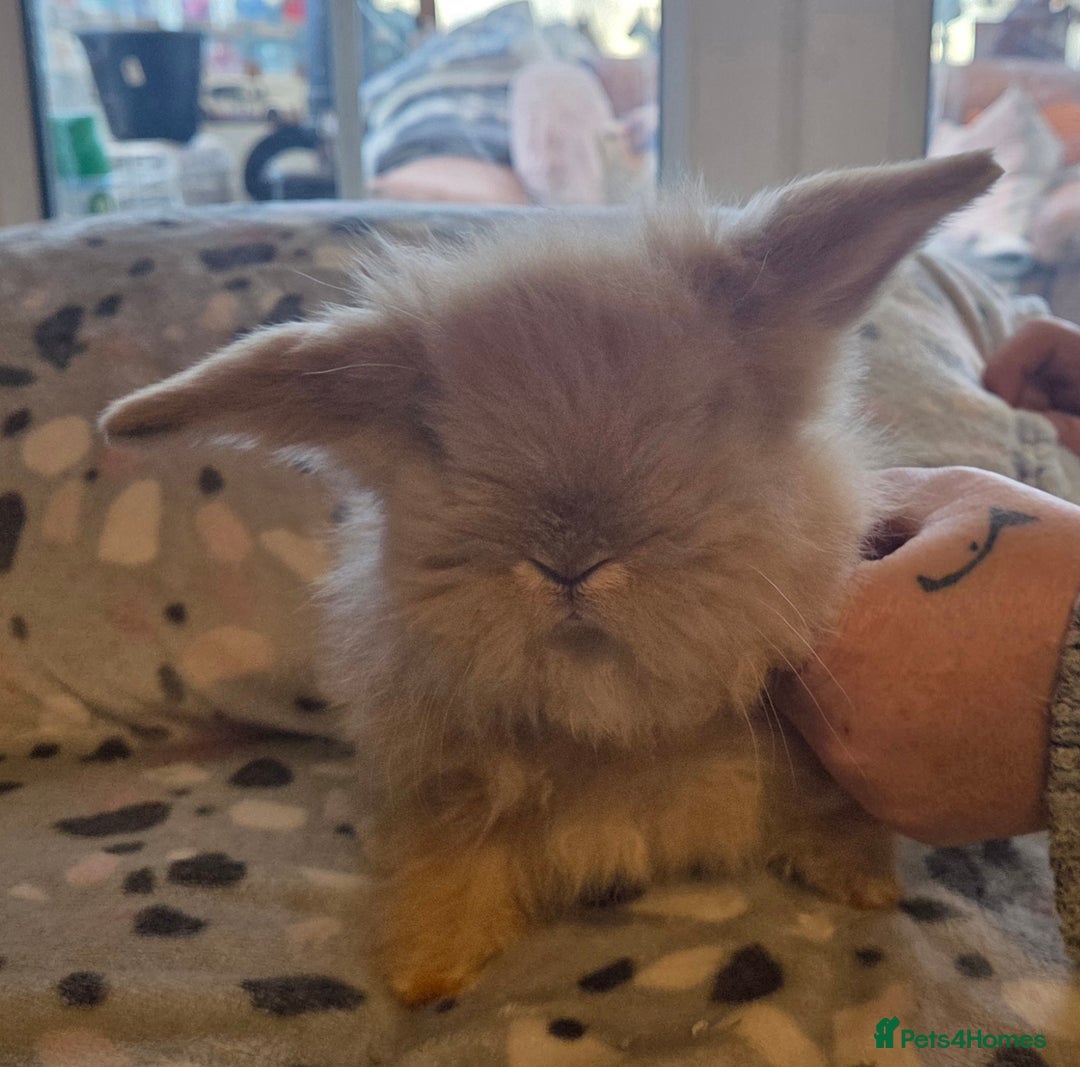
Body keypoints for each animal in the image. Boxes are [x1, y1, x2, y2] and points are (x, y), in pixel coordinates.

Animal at [101, 151, 1000, 1006]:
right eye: (437, 440)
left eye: (709, 412)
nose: (569, 562)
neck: (617, 725)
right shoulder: (446, 797)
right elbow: (444, 870)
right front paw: (426, 971)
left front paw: (866, 885)